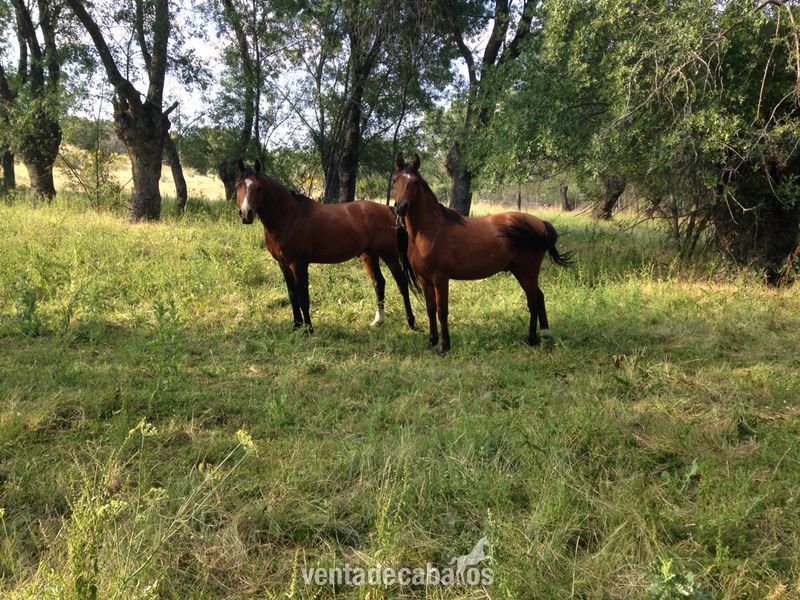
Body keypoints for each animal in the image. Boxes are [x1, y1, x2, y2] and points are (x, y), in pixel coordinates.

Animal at [235, 160, 415, 333]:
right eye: (238, 186)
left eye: (258, 188)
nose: (246, 214)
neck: (288, 217)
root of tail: (389, 209)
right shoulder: (283, 265)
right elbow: (292, 295)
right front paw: (296, 327)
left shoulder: (298, 264)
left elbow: (303, 298)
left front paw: (308, 331)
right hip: (369, 255)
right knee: (379, 283)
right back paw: (378, 321)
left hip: (389, 255)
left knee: (401, 283)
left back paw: (411, 322)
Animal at [392, 153, 571, 353]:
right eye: (395, 180)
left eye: (415, 182)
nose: (400, 207)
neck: (430, 230)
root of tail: (540, 224)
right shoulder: (424, 278)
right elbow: (430, 309)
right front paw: (431, 342)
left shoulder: (440, 278)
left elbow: (442, 311)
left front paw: (444, 346)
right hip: (520, 272)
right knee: (538, 297)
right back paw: (544, 335)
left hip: (528, 271)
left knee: (533, 301)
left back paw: (531, 340)